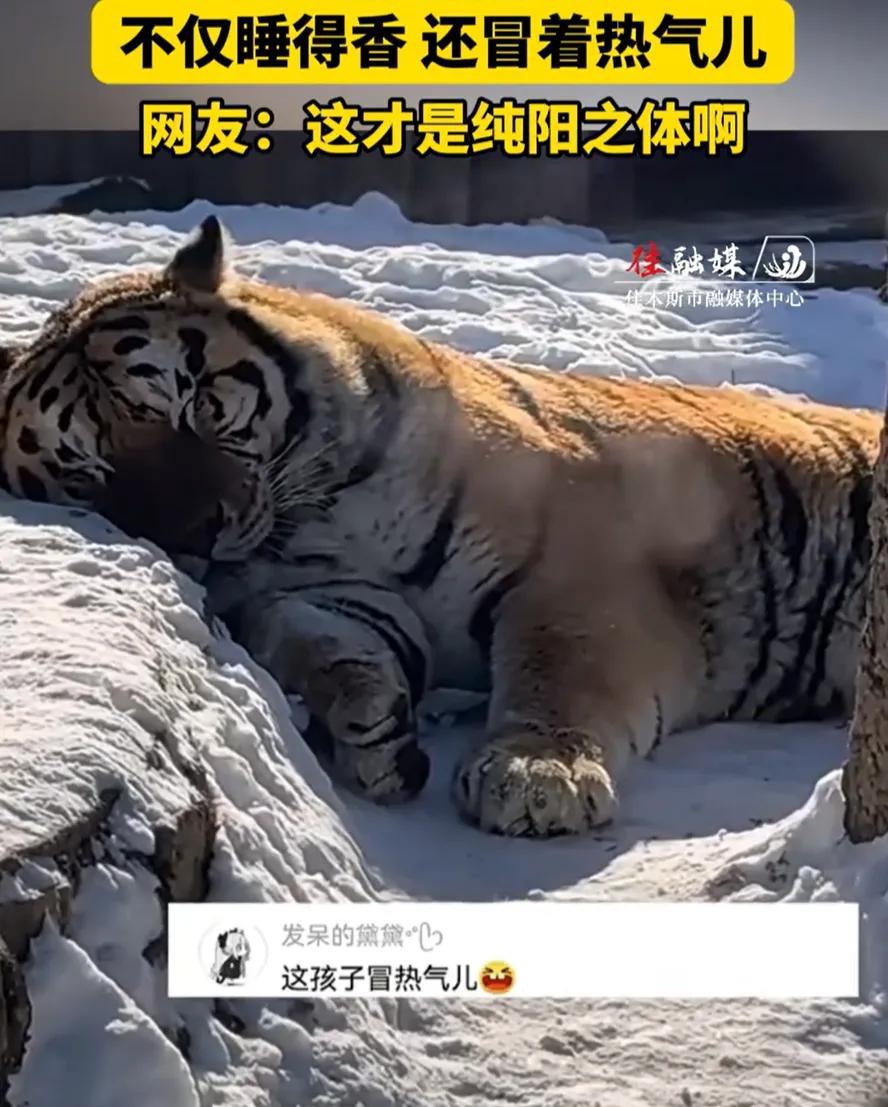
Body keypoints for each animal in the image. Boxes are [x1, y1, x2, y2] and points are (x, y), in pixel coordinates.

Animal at [0, 215, 879, 837]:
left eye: (194, 404)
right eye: (92, 473)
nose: (198, 531)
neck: (312, 516)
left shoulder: (575, 569)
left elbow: (559, 666)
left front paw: (534, 777)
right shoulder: (334, 593)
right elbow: (318, 639)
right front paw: (372, 731)